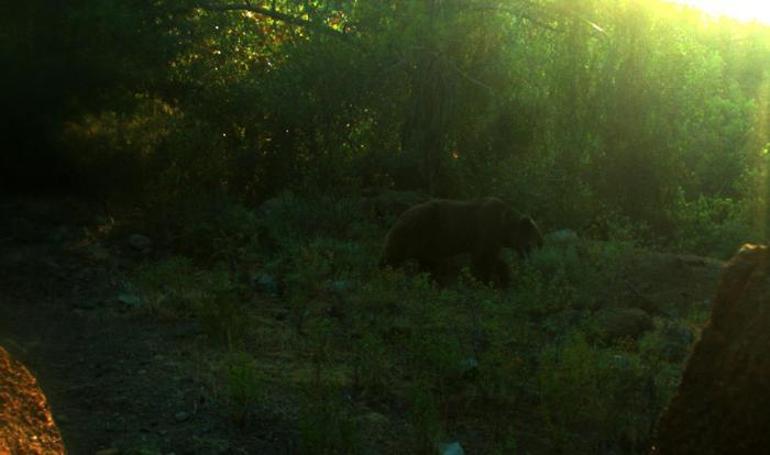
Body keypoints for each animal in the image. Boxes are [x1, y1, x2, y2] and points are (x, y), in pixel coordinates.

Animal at [378, 198, 540, 286]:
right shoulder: (486, 230)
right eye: (536, 234)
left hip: (426, 245)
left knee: (428, 265)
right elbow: (483, 260)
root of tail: (400, 216)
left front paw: (504, 278)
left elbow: (494, 259)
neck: (503, 227)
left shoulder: (492, 240)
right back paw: (384, 273)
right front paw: (486, 281)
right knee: (393, 256)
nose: (542, 243)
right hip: (416, 232)